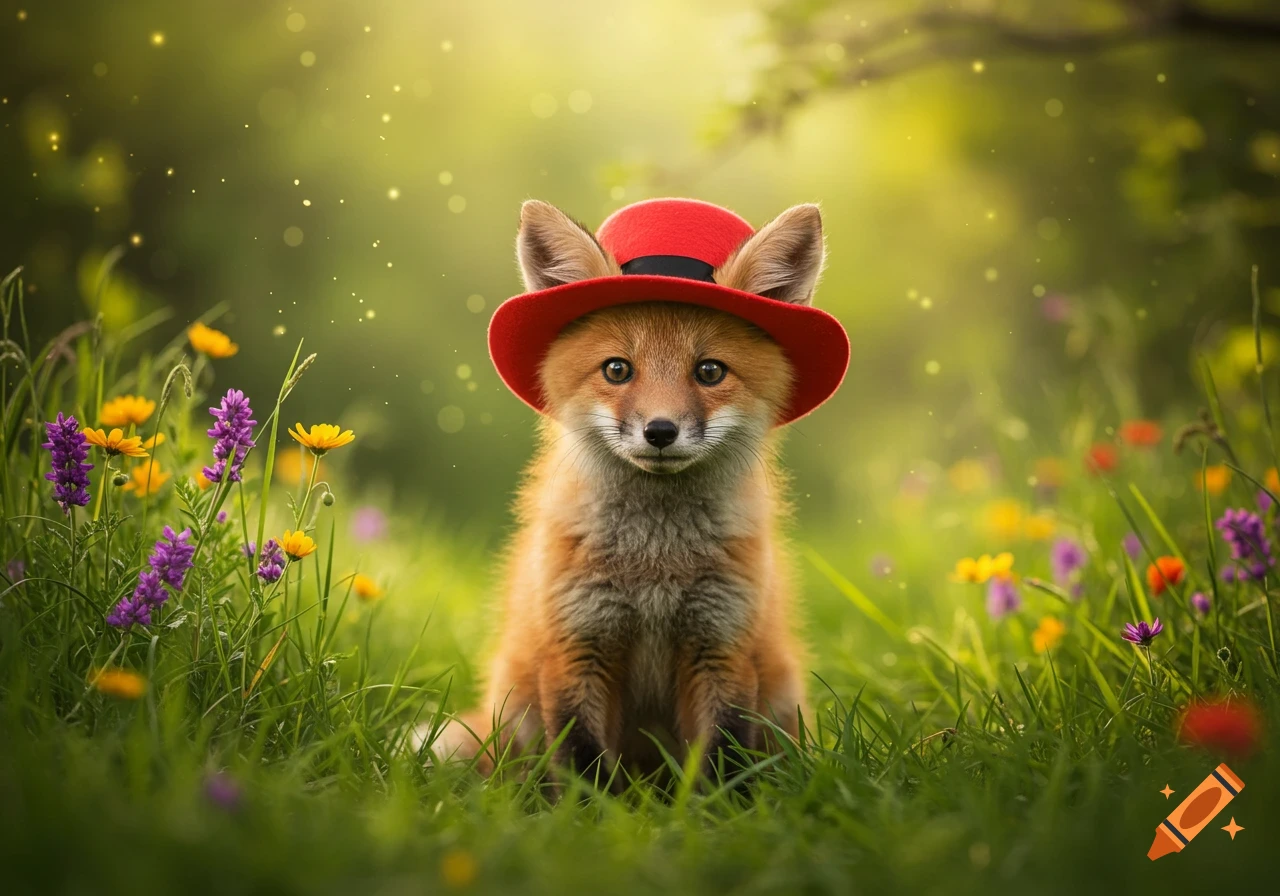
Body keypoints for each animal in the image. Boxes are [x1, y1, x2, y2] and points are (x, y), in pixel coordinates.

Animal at [427, 199, 830, 782]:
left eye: (709, 371)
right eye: (617, 369)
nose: (660, 431)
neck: (654, 567)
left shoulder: (722, 643)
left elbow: (723, 759)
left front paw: (721, 805)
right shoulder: (578, 643)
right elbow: (581, 762)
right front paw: (587, 805)